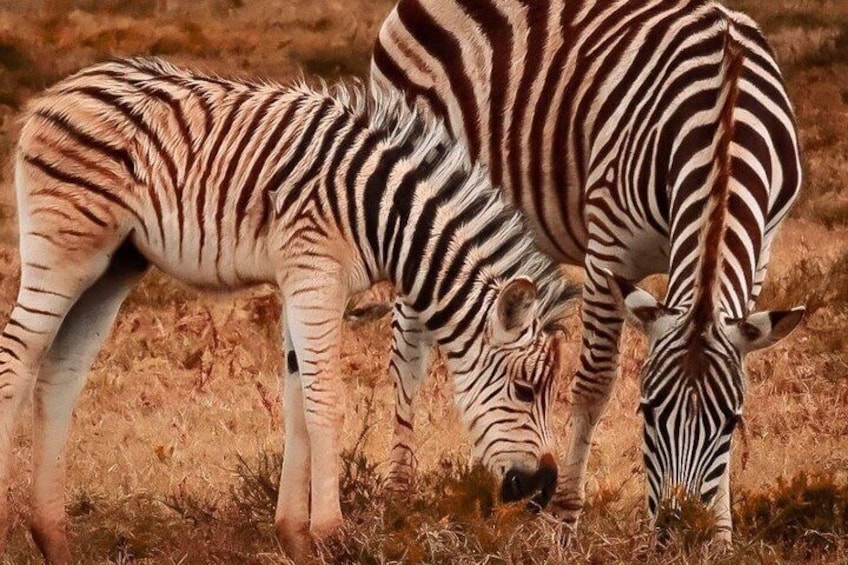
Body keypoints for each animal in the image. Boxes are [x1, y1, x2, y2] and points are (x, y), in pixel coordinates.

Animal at [0, 58, 579, 562]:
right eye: (524, 390)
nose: (545, 488)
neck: (382, 213)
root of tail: (64, 88)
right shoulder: (315, 273)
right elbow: (326, 400)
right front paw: (332, 535)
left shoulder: (301, 279)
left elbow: (299, 398)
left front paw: (294, 537)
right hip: (64, 249)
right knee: (17, 359)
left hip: (116, 262)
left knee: (60, 373)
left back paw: (53, 540)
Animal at [370, 0, 805, 539]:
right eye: (647, 411)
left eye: (730, 422)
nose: (680, 530)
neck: (725, 116)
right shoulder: (610, 251)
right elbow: (594, 386)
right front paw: (564, 521)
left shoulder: (761, 249)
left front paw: (722, 533)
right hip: (417, 194)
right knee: (408, 352)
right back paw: (400, 492)